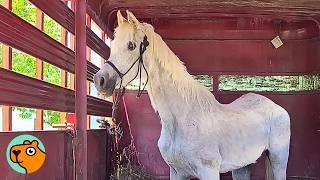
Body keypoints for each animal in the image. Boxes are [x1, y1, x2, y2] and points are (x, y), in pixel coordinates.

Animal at [94, 10, 292, 179]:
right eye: (112, 44)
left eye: (131, 45)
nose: (99, 80)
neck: (182, 120)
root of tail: (275, 107)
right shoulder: (176, 172)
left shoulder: (209, 172)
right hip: (243, 165)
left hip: (278, 159)